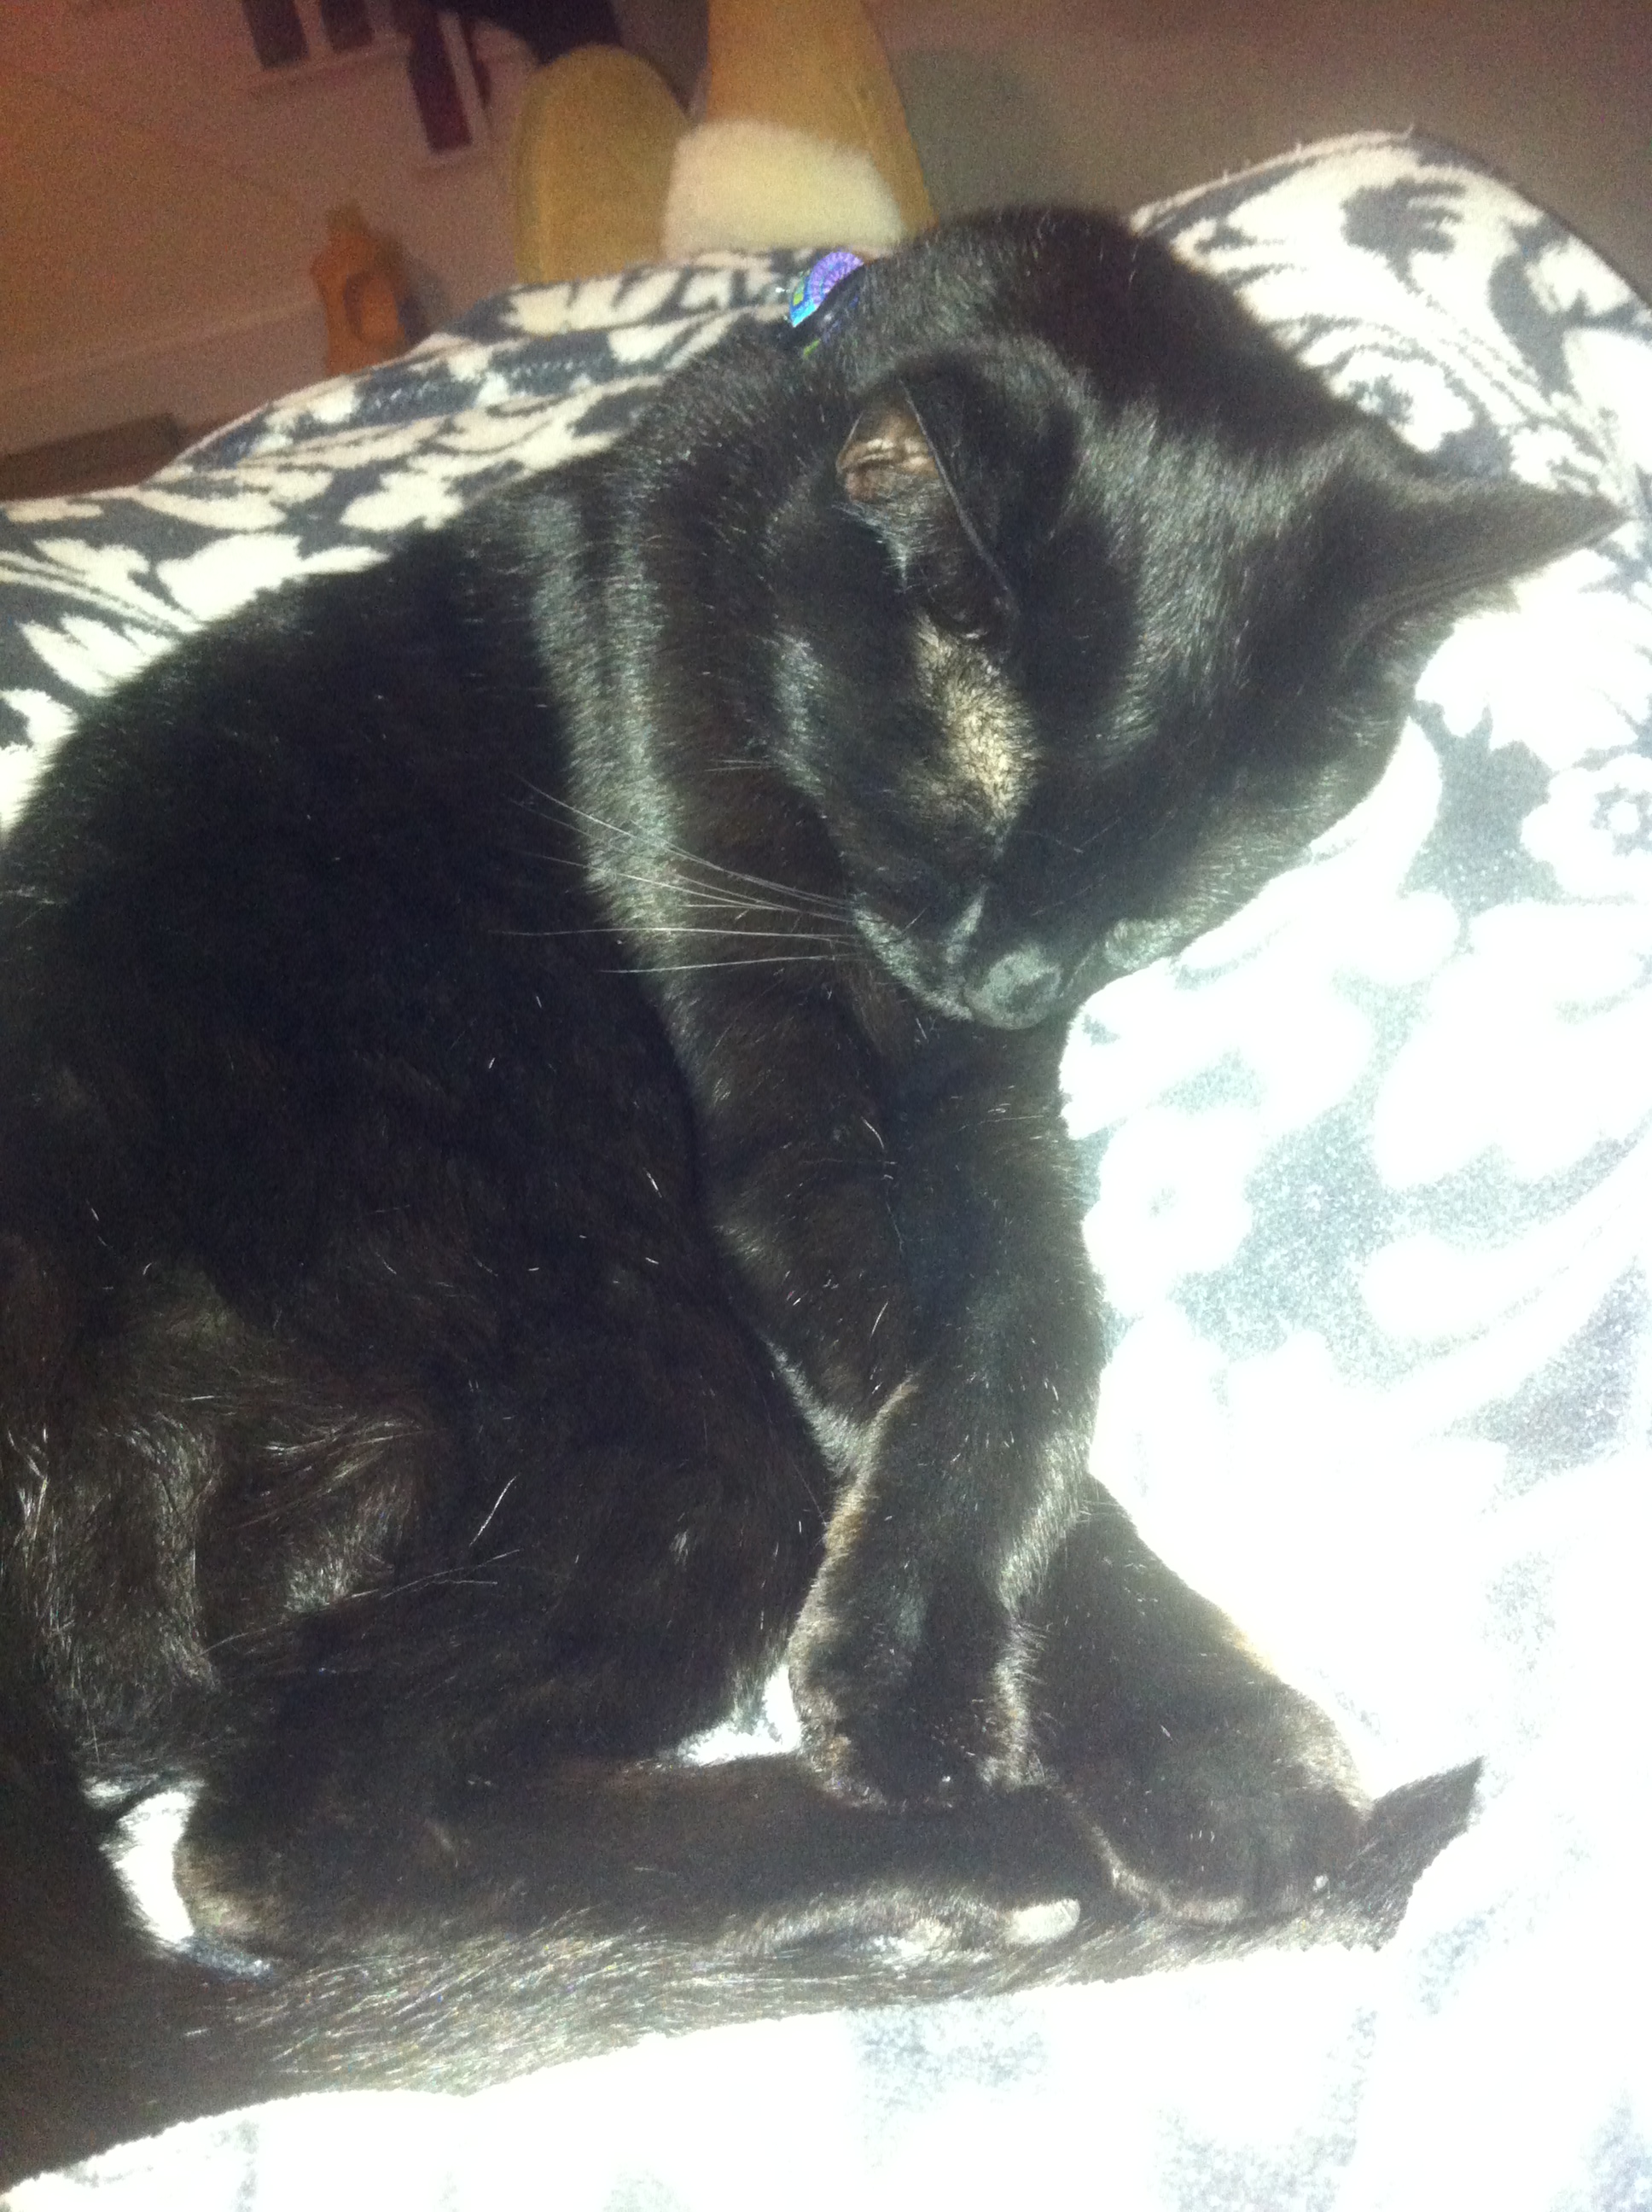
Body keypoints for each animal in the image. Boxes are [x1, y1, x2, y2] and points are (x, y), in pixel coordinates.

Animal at [0, 209, 1612, 2187]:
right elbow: (897, 1343)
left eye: (1156, 907)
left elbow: (1035, 1339)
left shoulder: (986, 1111)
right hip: (654, 1384)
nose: (997, 973)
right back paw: (990, 1857)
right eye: (943, 825)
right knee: (287, 1845)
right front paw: (1180, 1745)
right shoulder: (763, 1090)